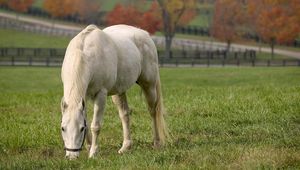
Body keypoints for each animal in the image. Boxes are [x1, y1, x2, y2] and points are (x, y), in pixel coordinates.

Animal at [61, 24, 169, 159]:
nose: (71, 156)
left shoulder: (101, 95)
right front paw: (89, 146)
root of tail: (145, 34)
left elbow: (95, 125)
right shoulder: (83, 97)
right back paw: (125, 147)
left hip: (149, 86)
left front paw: (93, 152)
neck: (85, 53)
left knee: (153, 111)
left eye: (81, 129)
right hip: (119, 92)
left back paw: (157, 143)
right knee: (125, 114)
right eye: (63, 128)